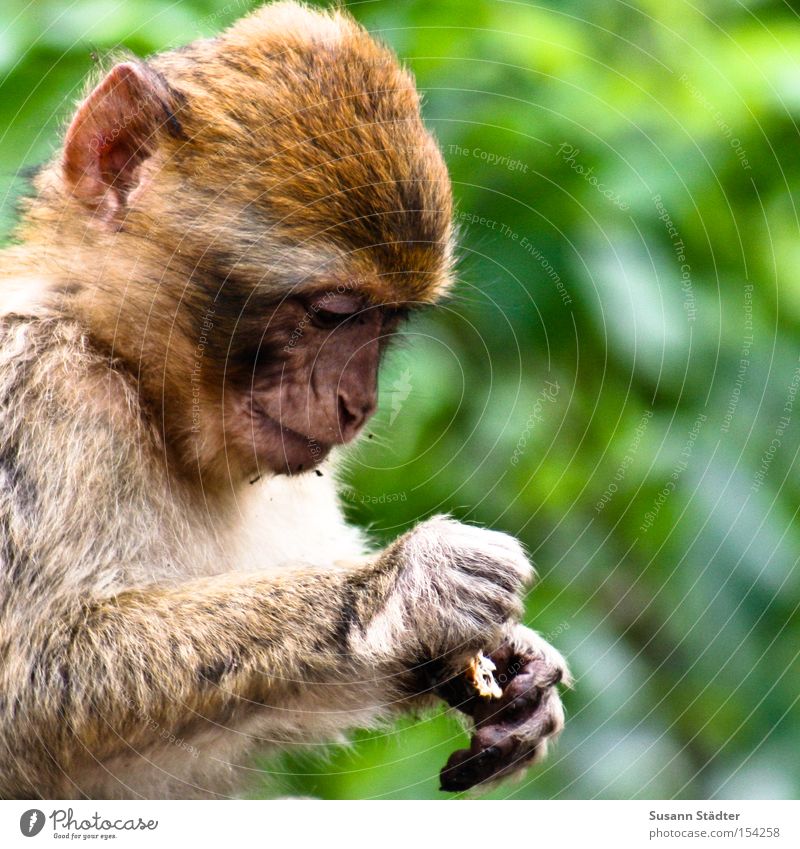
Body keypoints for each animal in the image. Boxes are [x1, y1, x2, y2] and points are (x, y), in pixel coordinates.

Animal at [1, 0, 568, 800]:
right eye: (332, 312)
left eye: (388, 320)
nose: (358, 403)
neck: (128, 372)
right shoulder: (36, 390)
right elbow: (30, 690)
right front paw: (398, 592)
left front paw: (510, 664)